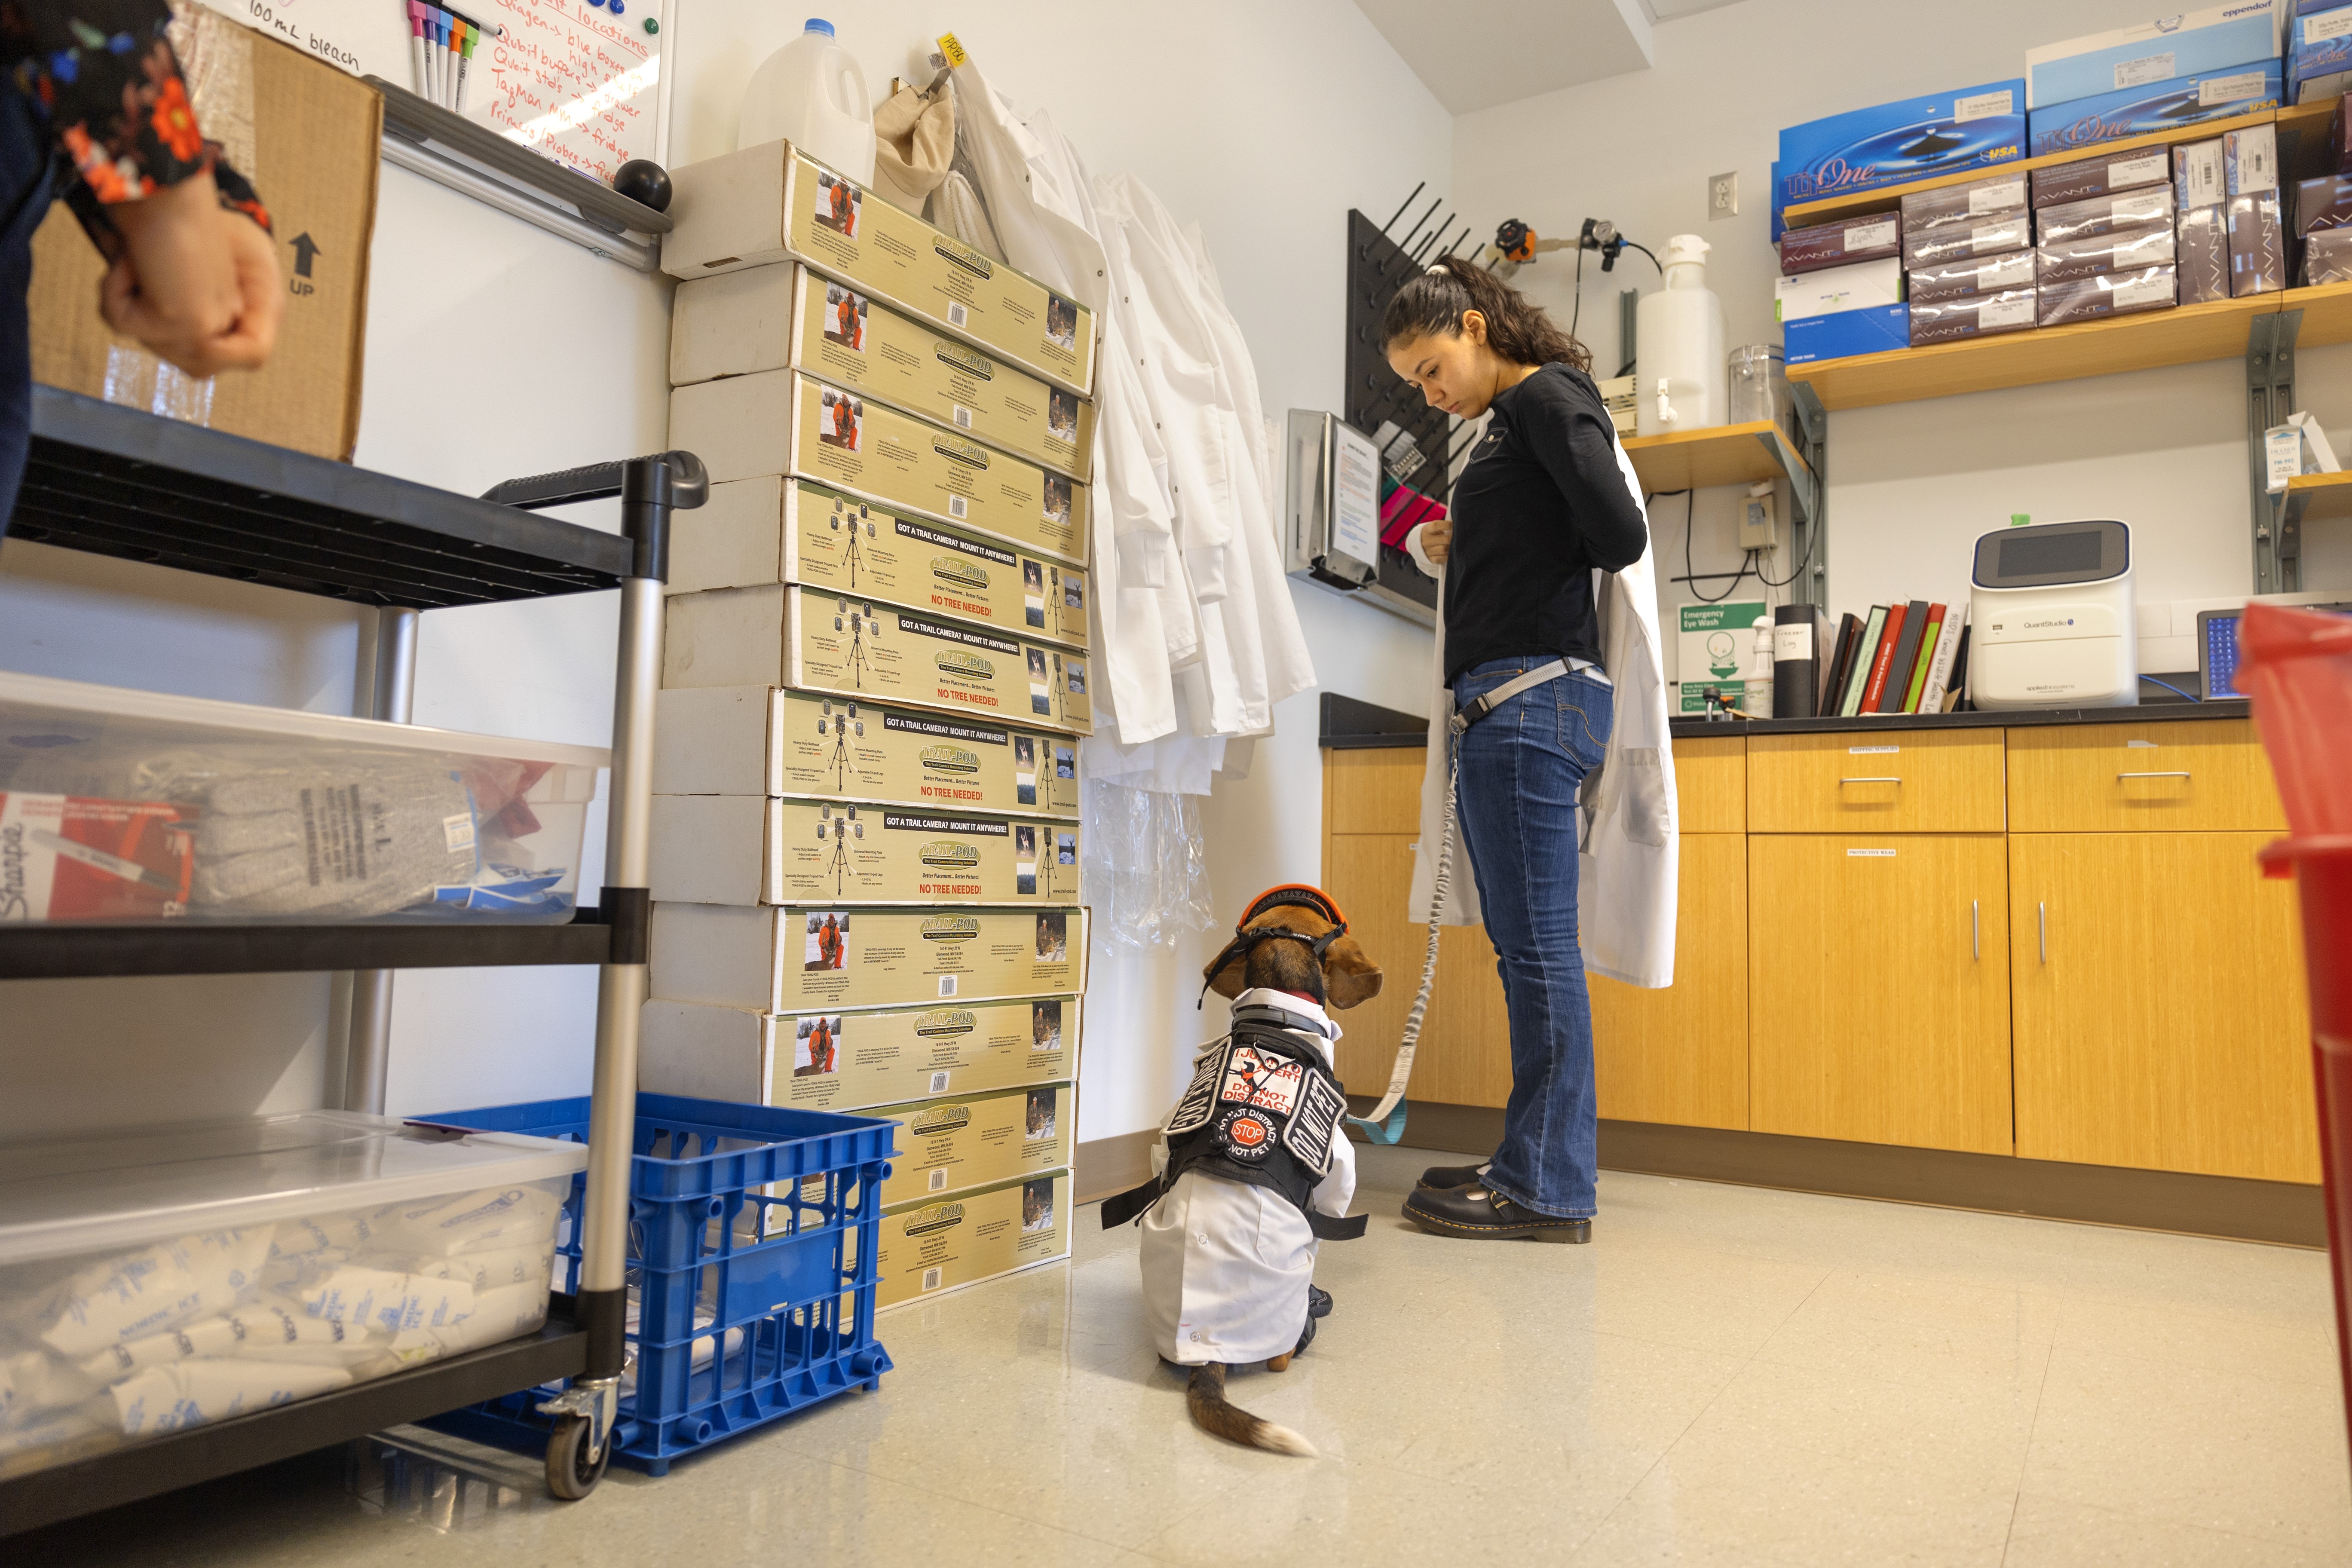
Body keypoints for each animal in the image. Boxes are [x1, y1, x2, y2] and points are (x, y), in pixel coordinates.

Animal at [1100, 888, 1373, 1457]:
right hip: (1285, 1331)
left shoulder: (1162, 1135)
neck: (1279, 1010)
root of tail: (1206, 1346)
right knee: (1284, 1355)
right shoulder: (1340, 1167)